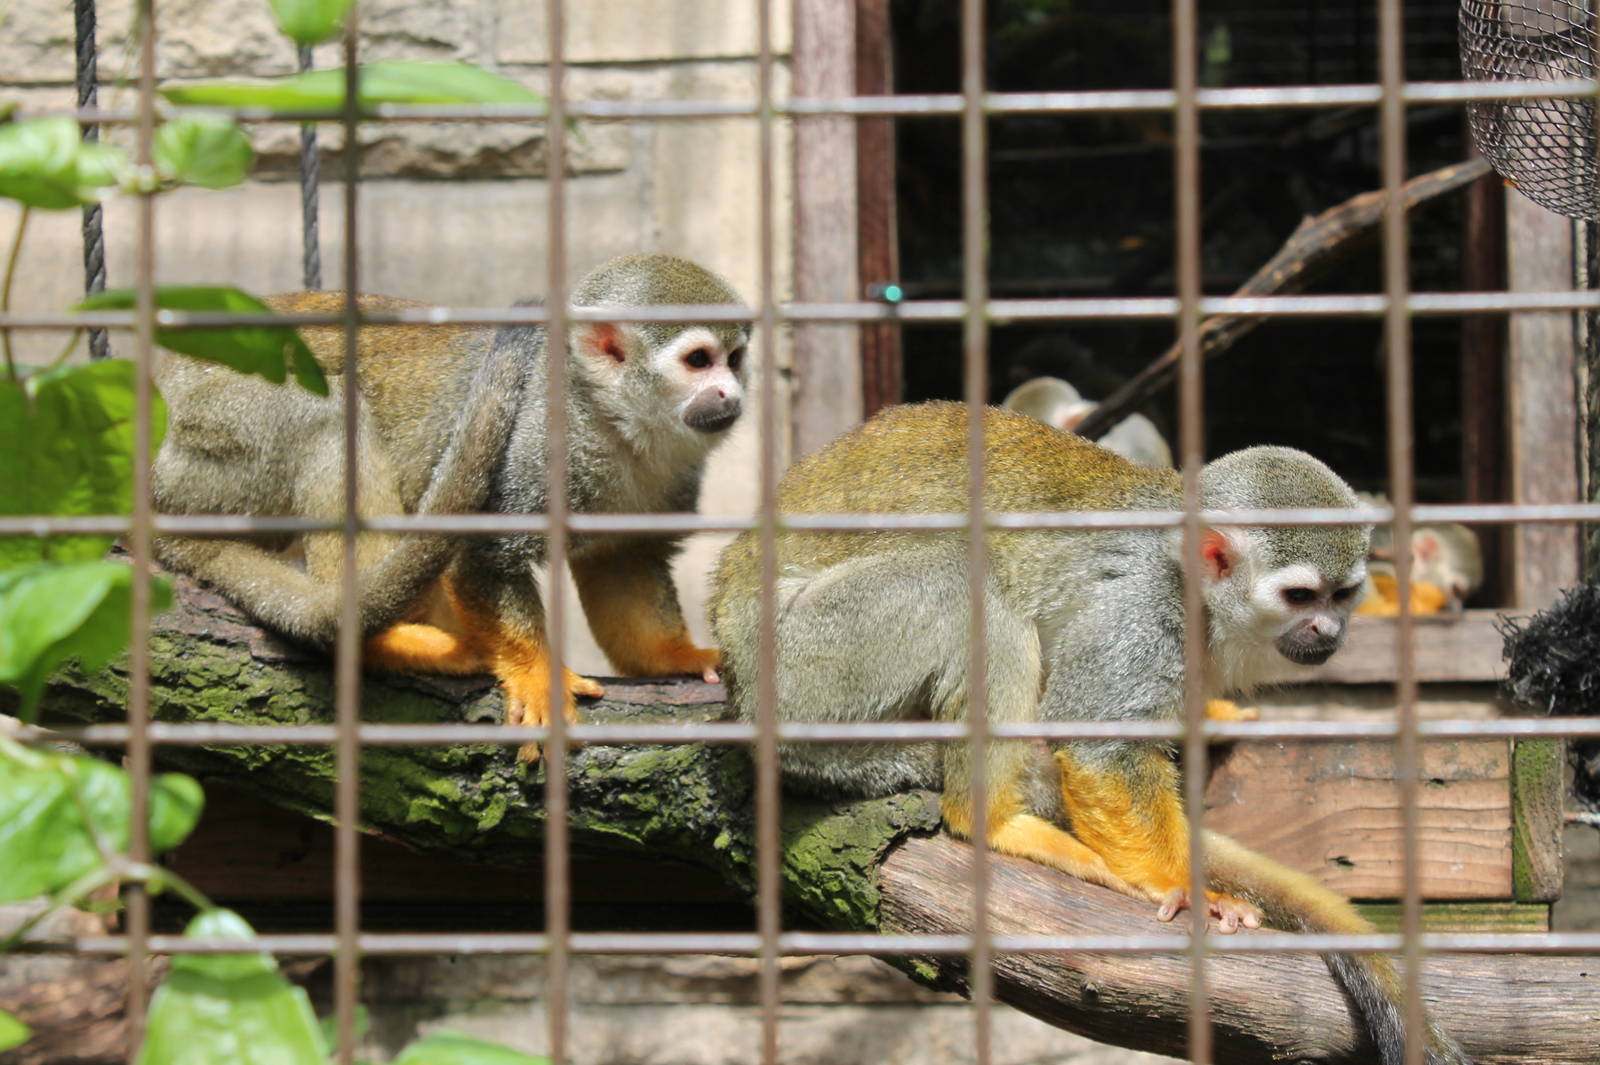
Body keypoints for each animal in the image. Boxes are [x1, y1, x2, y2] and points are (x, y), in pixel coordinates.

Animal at [154, 253, 750, 761]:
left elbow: (620, 565)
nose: (732, 394)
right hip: (207, 437)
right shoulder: (533, 444)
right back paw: (378, 636)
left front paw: (677, 657)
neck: (611, 422)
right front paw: (539, 676)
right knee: (324, 411)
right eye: (699, 361)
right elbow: (481, 559)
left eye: (736, 360)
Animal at [708, 401, 1471, 1065]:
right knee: (964, 581)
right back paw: (993, 819)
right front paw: (1188, 887)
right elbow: (1102, 749)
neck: (1194, 587)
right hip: (807, 666)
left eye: (1344, 594)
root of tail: (736, 667)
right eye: (1300, 596)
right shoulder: (1139, 608)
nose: (1330, 631)